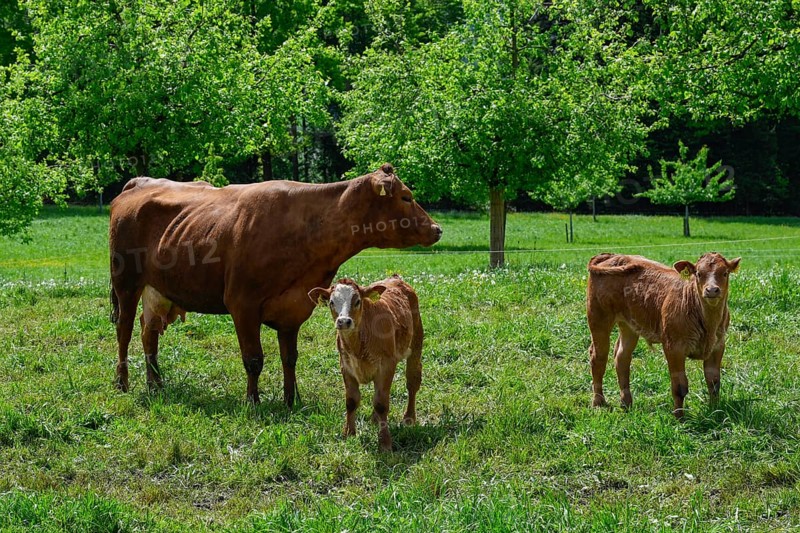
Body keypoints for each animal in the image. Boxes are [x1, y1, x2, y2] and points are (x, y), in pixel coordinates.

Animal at [109, 164, 441, 407]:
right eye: (406, 197)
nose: (437, 229)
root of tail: (139, 182)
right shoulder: (242, 304)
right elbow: (253, 359)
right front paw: (252, 402)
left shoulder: (293, 308)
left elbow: (289, 357)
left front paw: (291, 400)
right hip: (125, 282)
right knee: (124, 330)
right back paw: (122, 382)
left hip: (158, 289)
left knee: (148, 332)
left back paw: (155, 383)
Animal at [308, 275, 422, 451]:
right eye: (332, 302)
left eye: (357, 301)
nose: (343, 321)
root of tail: (395, 278)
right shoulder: (345, 366)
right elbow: (351, 401)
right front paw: (349, 434)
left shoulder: (386, 366)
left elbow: (381, 404)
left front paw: (385, 443)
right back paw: (374, 419)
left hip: (416, 345)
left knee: (412, 383)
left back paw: (409, 418)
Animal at [586, 252, 741, 417]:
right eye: (698, 274)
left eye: (725, 273)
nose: (711, 290)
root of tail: (612, 256)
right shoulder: (673, 347)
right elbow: (680, 387)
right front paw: (679, 417)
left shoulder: (718, 345)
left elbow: (714, 382)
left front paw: (715, 412)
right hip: (598, 319)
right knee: (598, 357)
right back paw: (598, 402)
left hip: (629, 326)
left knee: (622, 357)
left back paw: (626, 403)